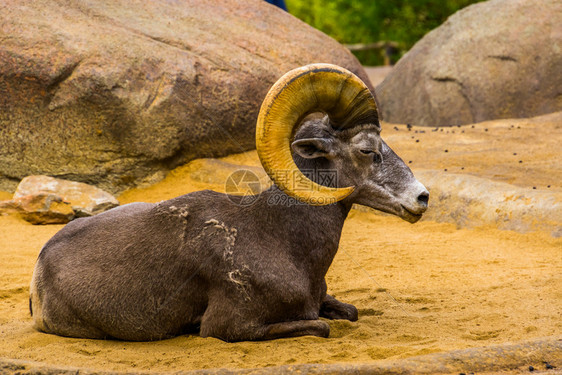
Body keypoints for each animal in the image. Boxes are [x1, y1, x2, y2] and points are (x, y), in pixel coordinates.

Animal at [28, 64, 426, 344]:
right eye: (367, 150)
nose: (421, 197)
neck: (283, 240)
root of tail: (40, 268)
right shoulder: (233, 327)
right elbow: (321, 327)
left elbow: (352, 312)